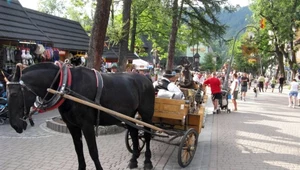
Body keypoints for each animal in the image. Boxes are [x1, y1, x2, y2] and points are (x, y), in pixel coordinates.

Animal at [6, 62, 155, 170]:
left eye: (14, 94)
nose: (14, 125)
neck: (66, 86)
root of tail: (146, 78)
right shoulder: (72, 126)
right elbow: (79, 150)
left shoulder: (87, 126)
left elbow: (93, 151)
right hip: (129, 115)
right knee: (134, 132)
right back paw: (134, 160)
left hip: (147, 115)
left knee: (147, 135)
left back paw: (148, 161)